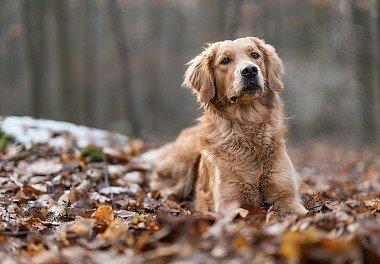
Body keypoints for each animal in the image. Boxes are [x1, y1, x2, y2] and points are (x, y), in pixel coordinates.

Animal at [142, 36, 308, 216]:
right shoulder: (230, 204)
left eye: (255, 55)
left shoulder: (286, 196)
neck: (248, 125)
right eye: (225, 60)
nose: (250, 70)